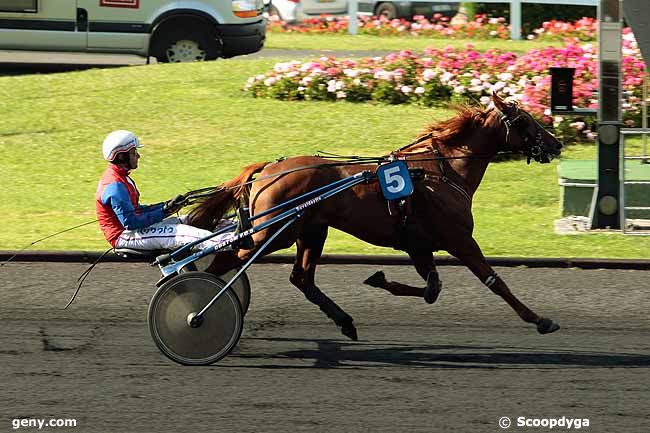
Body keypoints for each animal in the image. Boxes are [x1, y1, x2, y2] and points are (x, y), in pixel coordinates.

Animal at [187, 93, 560, 340]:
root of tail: (267, 169)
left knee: (302, 278)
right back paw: (200, 304)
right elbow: (494, 281)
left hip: (311, 230)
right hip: (275, 232)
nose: (555, 144)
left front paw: (379, 279)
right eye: (525, 121)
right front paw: (540, 319)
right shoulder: (460, 240)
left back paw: (344, 321)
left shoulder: (418, 244)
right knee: (229, 258)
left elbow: (432, 289)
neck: (443, 171)